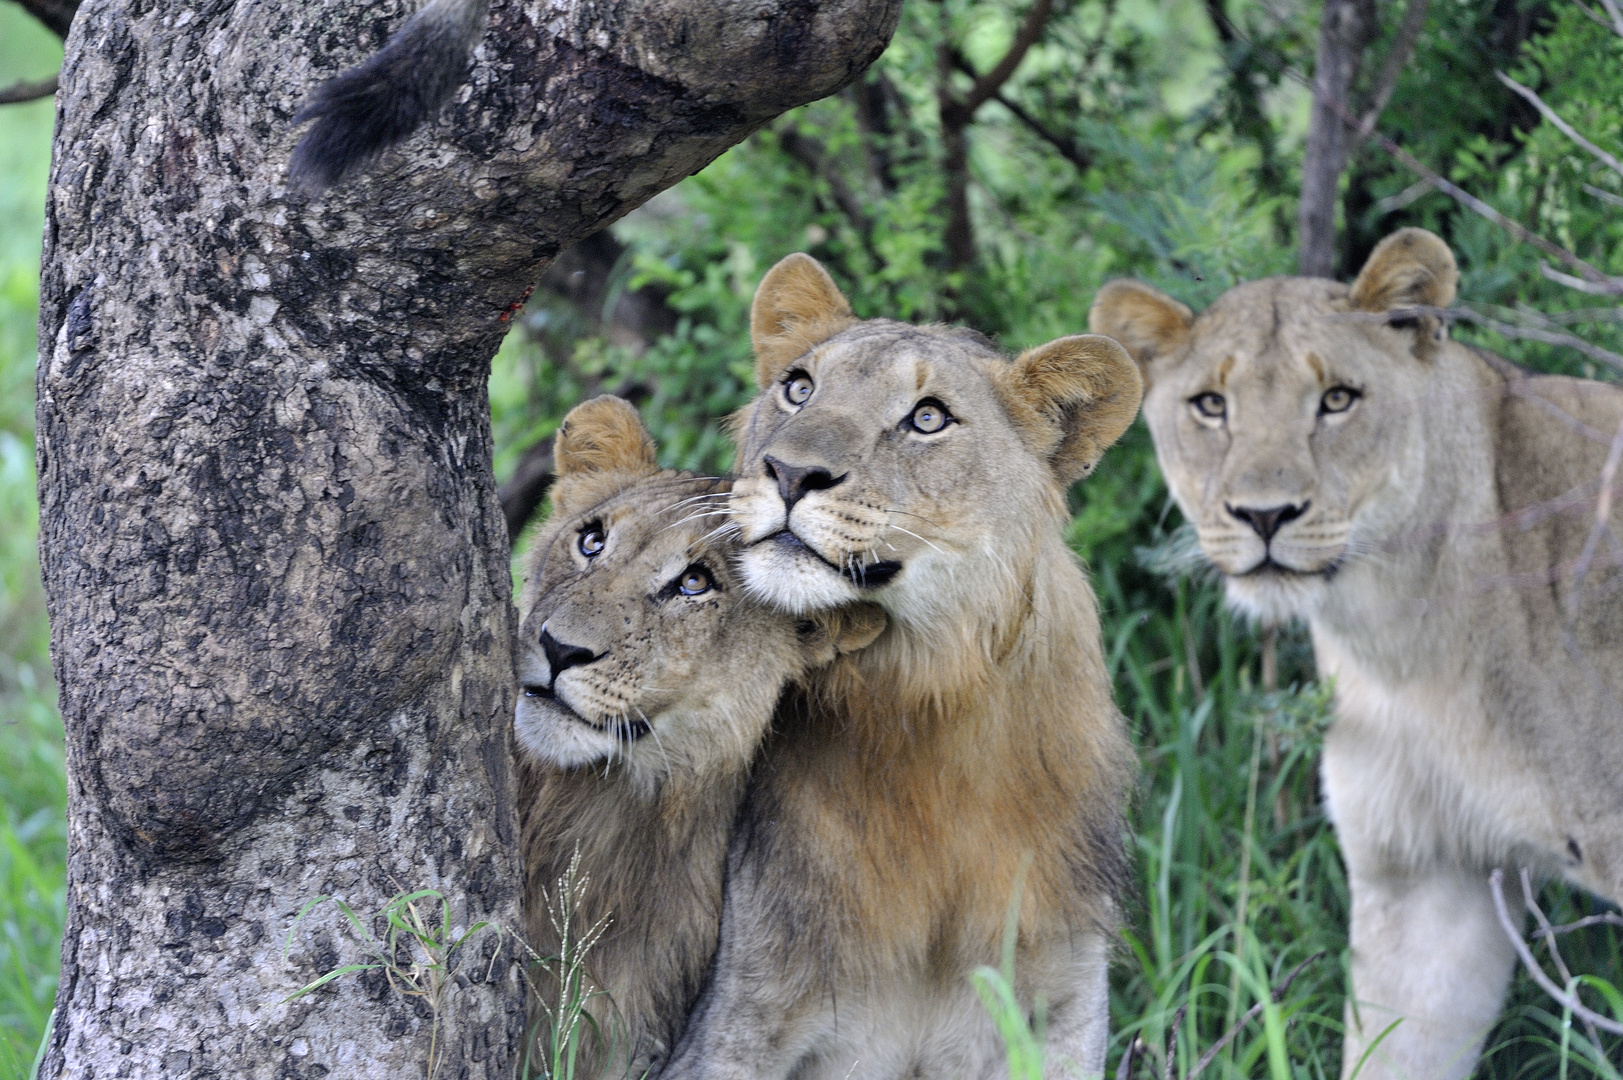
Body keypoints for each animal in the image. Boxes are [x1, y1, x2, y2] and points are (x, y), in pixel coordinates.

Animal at [658, 254, 1142, 1078]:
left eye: (927, 418)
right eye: (798, 387)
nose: (789, 472)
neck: (927, 697)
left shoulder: (1066, 999)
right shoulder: (731, 1023)